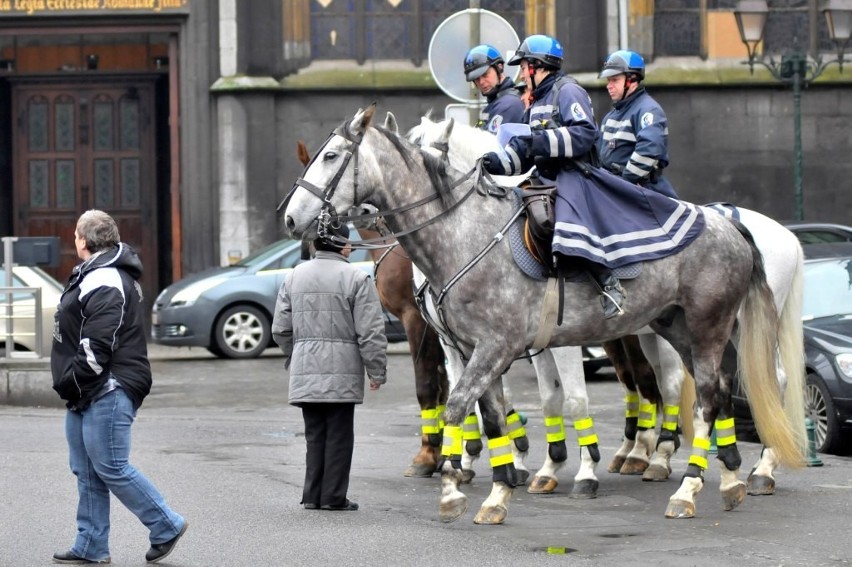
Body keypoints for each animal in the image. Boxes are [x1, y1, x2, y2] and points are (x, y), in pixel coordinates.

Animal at [282, 105, 804, 524]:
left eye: (332, 157)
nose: (290, 217)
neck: (463, 233)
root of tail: (732, 224)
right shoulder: (473, 348)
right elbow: (492, 415)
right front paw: (498, 490)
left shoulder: (501, 347)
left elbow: (470, 404)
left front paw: (456, 485)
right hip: (677, 328)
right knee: (711, 389)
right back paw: (727, 478)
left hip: (710, 326)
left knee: (719, 392)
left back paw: (696, 482)